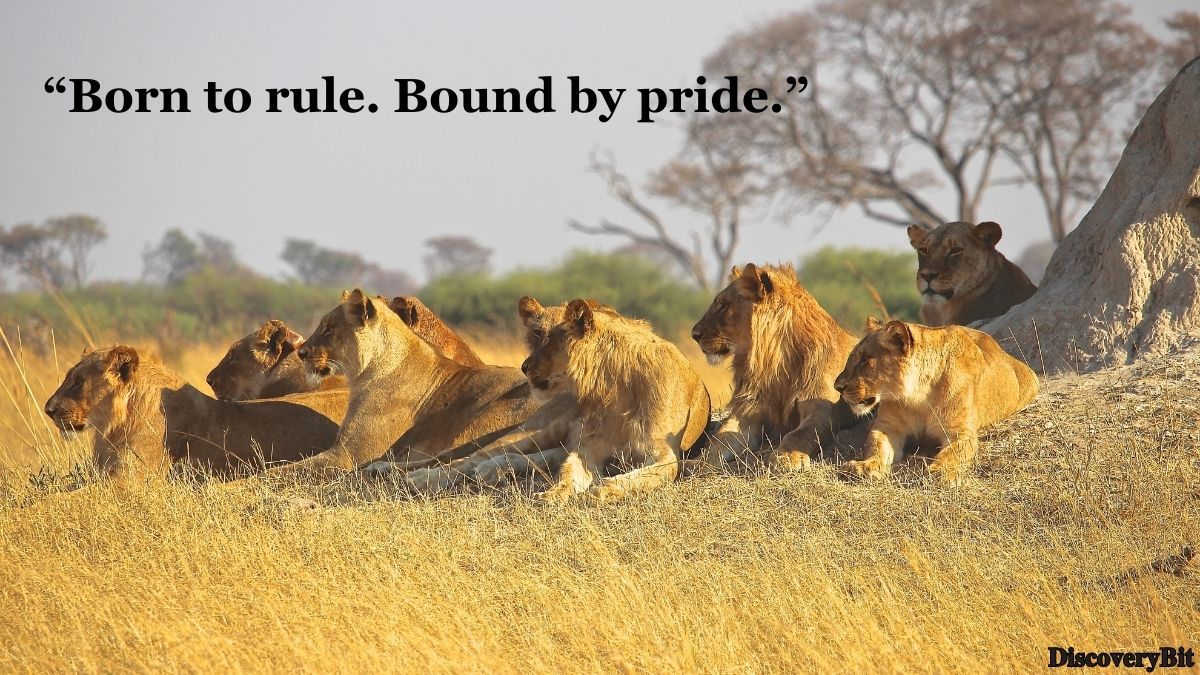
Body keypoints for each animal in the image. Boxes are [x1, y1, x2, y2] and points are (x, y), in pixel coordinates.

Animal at [256, 289, 545, 483]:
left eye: (329, 329)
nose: (302, 352)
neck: (365, 372)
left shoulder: (347, 454)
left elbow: (280, 470)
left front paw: (246, 483)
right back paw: (382, 469)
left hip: (484, 420)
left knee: (464, 459)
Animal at [522, 299, 710, 502]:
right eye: (538, 334)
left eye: (551, 340)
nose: (524, 367)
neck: (616, 388)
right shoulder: (590, 445)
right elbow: (568, 470)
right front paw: (552, 493)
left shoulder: (664, 451)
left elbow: (644, 476)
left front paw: (602, 490)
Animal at [691, 263, 862, 470]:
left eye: (723, 305)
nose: (694, 334)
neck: (775, 364)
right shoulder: (747, 412)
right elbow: (719, 440)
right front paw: (697, 463)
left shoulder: (823, 410)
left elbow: (799, 434)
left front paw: (786, 457)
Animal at [836, 318, 1039, 483]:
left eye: (864, 360)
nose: (837, 386)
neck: (918, 396)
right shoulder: (888, 426)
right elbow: (876, 445)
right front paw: (865, 466)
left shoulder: (961, 432)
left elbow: (952, 453)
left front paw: (940, 471)